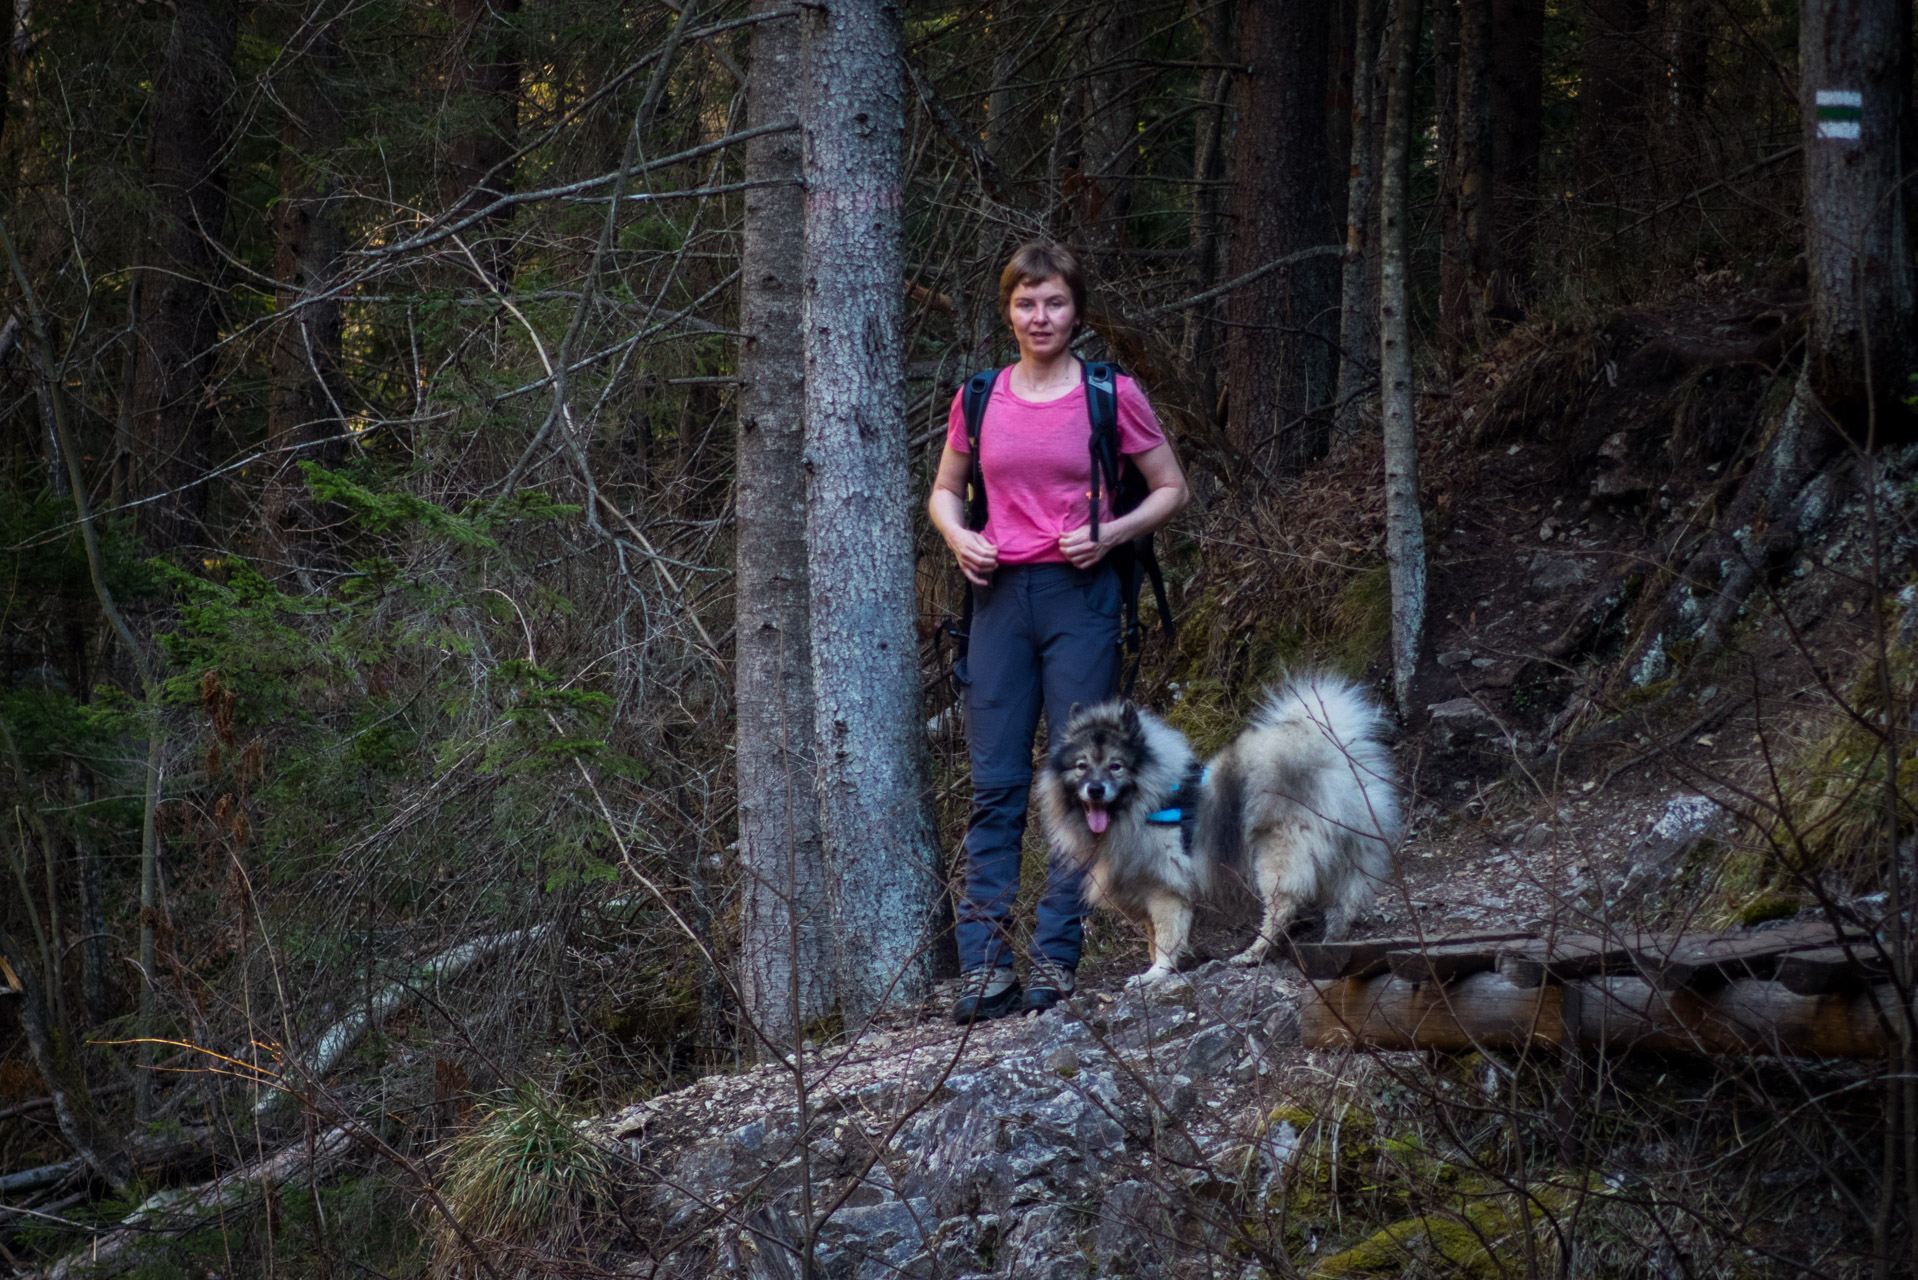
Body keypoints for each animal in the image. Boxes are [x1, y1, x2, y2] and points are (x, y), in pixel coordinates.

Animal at [1043, 675, 1403, 990]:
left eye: (1116, 766)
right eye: (1082, 766)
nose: (1095, 789)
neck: (1146, 801)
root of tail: (1329, 756)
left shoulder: (1165, 890)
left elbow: (1166, 937)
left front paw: (1156, 973)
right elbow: (1153, 938)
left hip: (1275, 860)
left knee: (1281, 909)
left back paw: (1253, 953)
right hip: (1345, 852)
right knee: (1345, 901)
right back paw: (1332, 941)